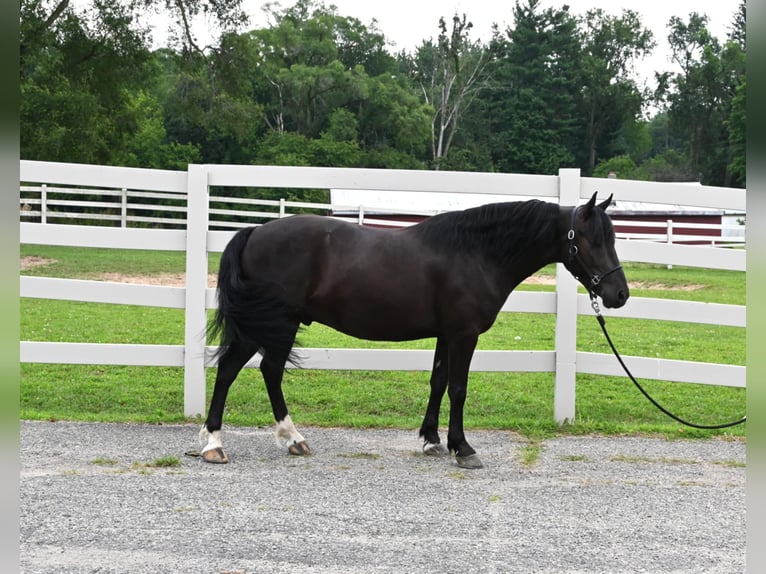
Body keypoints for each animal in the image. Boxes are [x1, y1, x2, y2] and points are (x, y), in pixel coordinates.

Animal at [200, 192, 629, 469]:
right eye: (592, 239)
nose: (619, 294)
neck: (476, 253)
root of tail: (255, 231)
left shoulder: (445, 334)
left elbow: (437, 383)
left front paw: (432, 441)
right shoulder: (464, 334)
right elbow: (458, 388)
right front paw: (463, 448)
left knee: (257, 370)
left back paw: (285, 440)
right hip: (274, 323)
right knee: (240, 370)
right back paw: (220, 444)